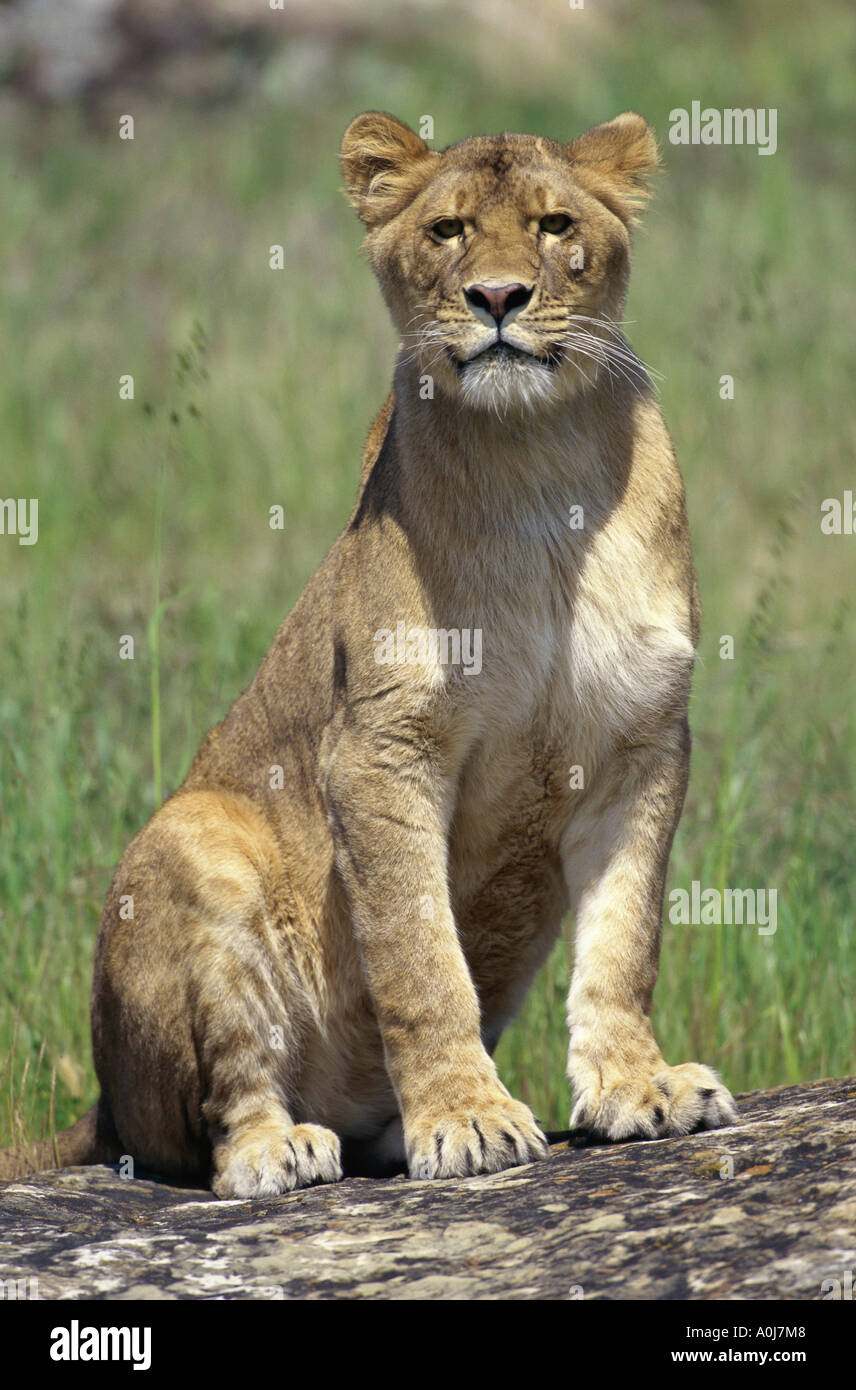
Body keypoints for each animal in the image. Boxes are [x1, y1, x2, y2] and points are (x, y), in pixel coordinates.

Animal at [1, 111, 737, 1195]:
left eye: (554, 225)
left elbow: (624, 938)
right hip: (190, 841)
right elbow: (418, 954)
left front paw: (640, 1086)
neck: (537, 464)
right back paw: (282, 1149)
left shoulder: (640, 742)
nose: (498, 297)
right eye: (447, 232)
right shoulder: (379, 748)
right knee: (215, 1122)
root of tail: (100, 1102)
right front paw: (468, 1117)